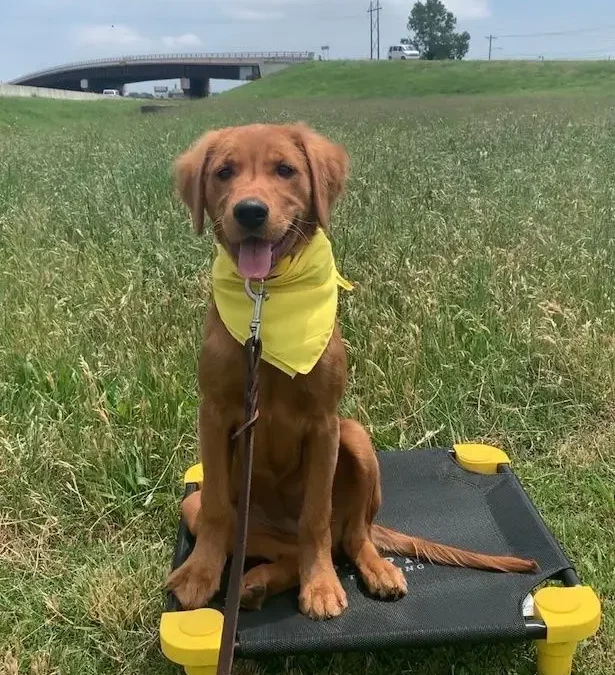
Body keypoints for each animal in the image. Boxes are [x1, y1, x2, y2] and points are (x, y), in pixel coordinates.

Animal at [166, 123, 536, 624]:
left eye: (286, 170)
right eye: (224, 172)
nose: (250, 211)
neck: (268, 301)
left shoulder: (325, 423)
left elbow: (315, 517)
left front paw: (321, 584)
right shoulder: (215, 413)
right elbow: (220, 510)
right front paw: (200, 574)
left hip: (355, 437)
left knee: (350, 536)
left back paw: (372, 569)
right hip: (195, 502)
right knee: (276, 546)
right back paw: (255, 582)